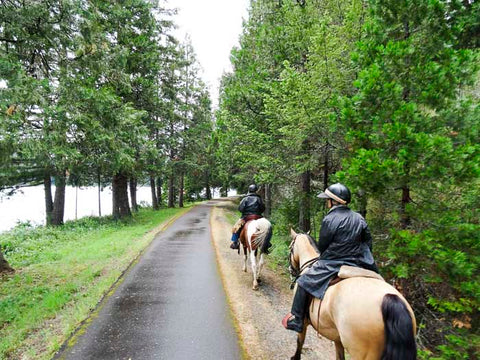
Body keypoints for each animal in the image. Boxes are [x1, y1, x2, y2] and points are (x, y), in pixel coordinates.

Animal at [288, 229, 416, 358]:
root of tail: (391, 299)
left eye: (290, 248)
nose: (291, 270)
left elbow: (300, 341)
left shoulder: (303, 323)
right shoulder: (337, 339)